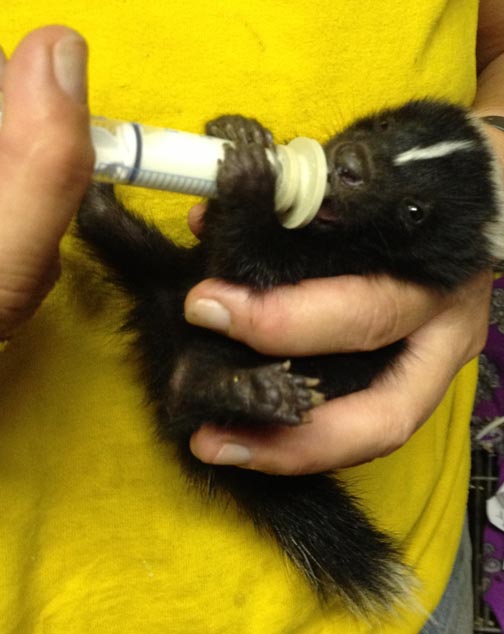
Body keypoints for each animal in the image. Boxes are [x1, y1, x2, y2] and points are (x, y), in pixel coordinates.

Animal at [77, 100, 504, 612]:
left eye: (415, 210)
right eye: (386, 126)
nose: (350, 164)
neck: (328, 235)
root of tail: (168, 345)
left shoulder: (334, 270)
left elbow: (252, 263)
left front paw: (251, 181)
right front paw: (241, 132)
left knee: (189, 395)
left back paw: (251, 391)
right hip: (167, 275)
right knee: (120, 238)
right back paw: (95, 200)